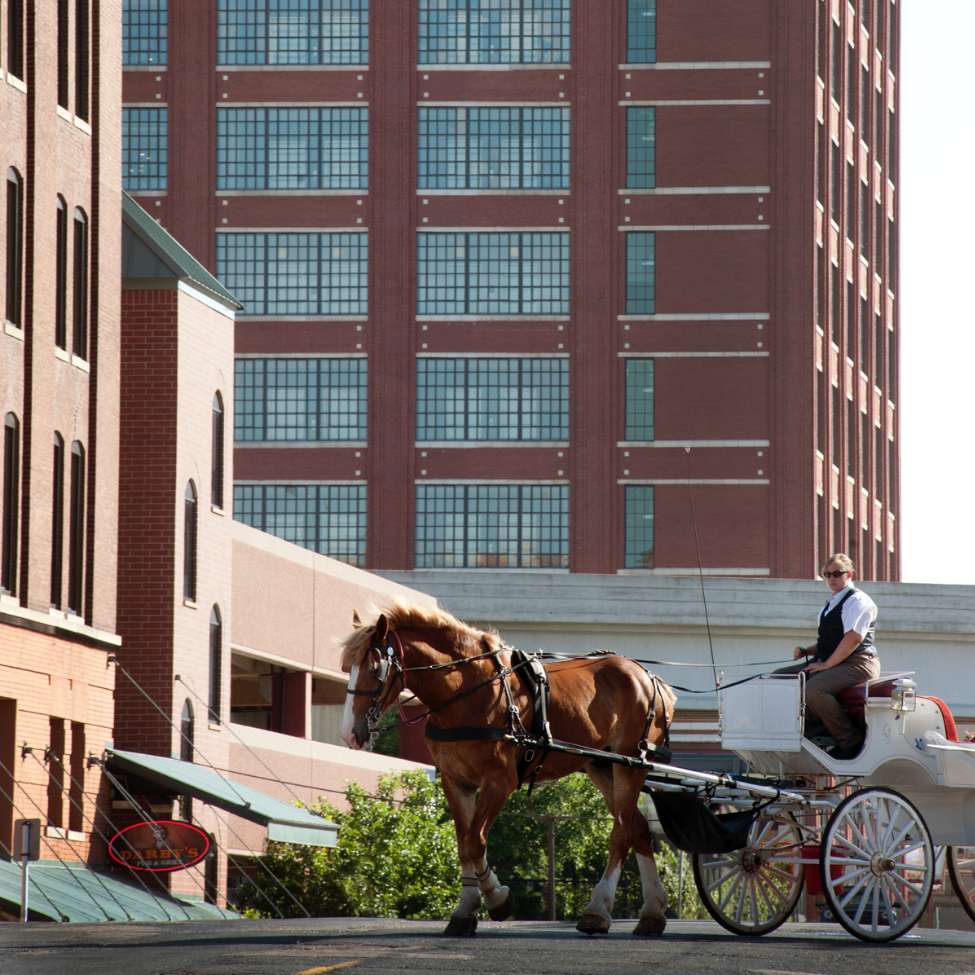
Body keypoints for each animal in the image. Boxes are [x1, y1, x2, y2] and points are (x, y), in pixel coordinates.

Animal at [344, 604, 680, 936]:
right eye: (348, 666)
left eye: (375, 668)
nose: (350, 733)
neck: (469, 690)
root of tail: (650, 678)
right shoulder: (456, 781)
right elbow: (463, 843)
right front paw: (465, 910)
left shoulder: (498, 782)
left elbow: (475, 841)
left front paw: (497, 899)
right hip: (603, 765)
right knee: (637, 828)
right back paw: (652, 914)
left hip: (630, 765)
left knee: (621, 832)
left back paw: (597, 911)